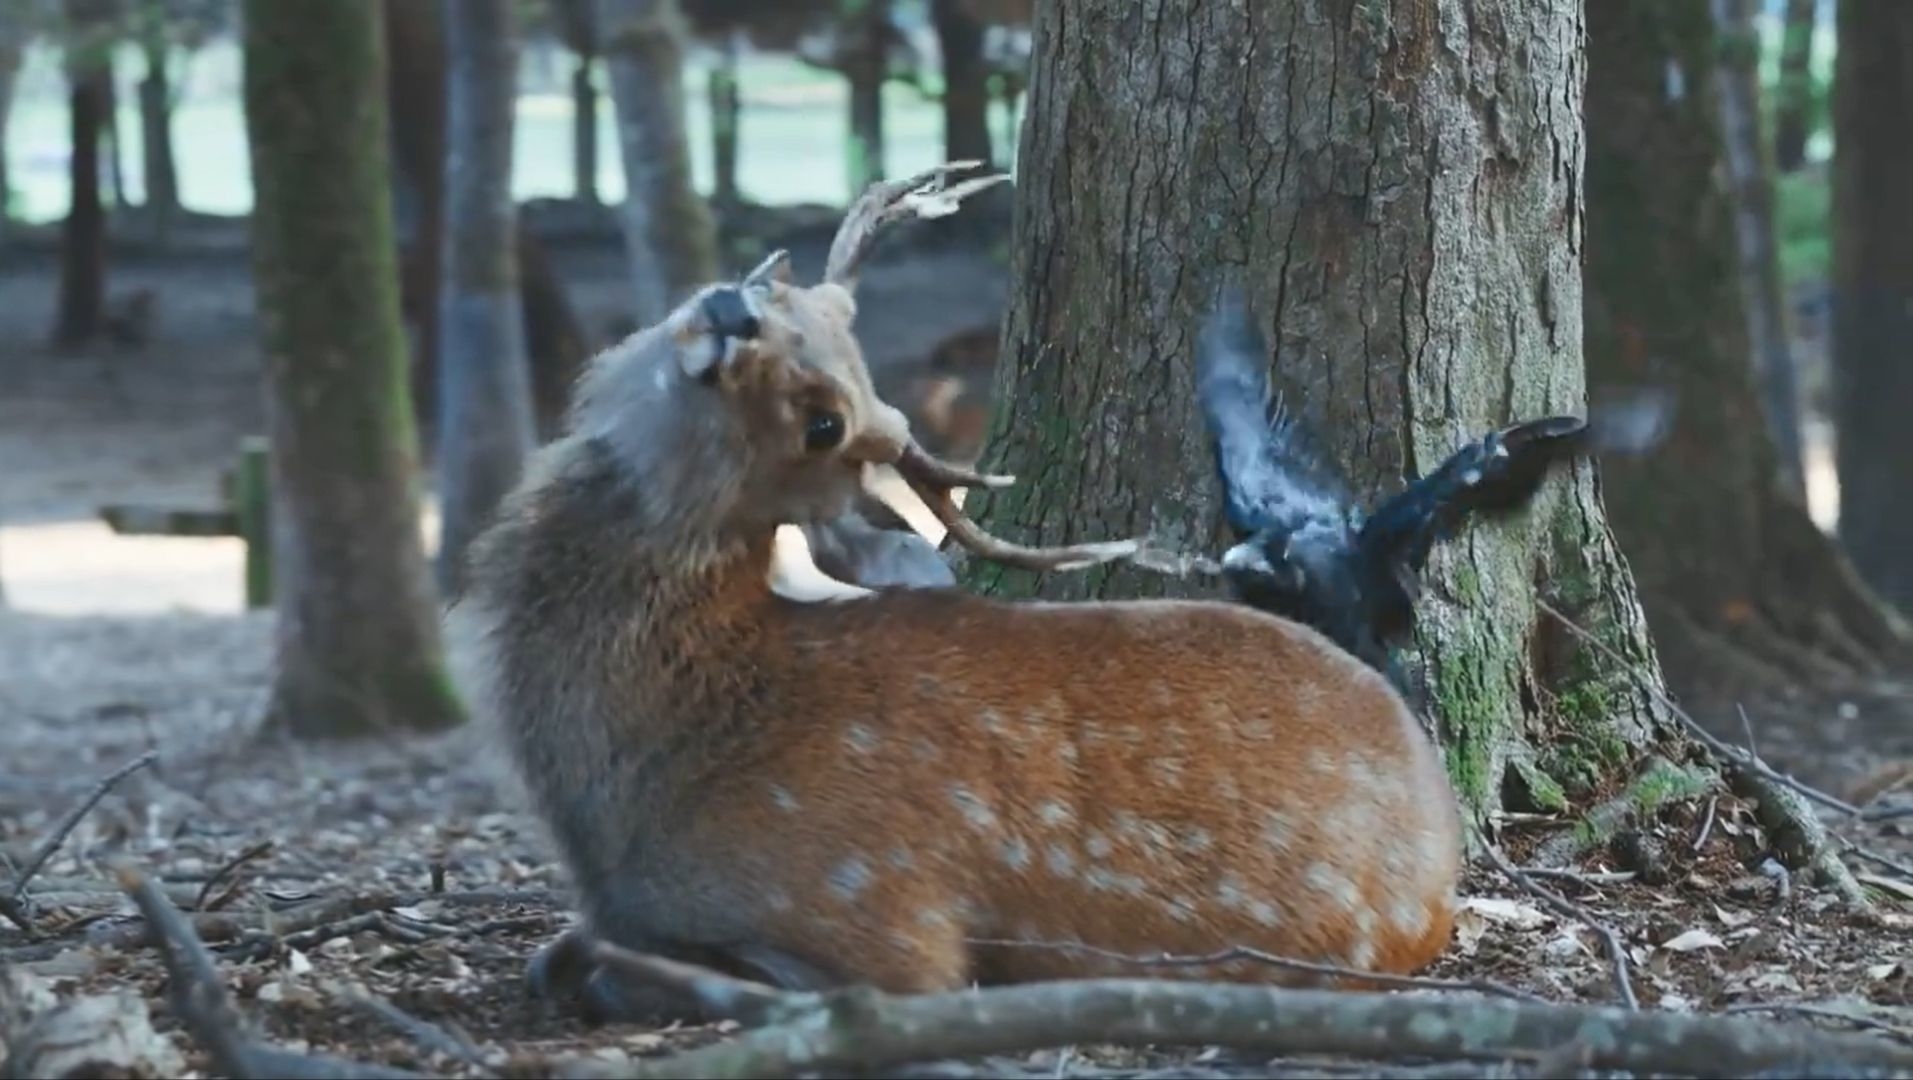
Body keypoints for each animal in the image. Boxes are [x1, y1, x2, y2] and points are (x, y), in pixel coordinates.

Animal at [447, 164, 1461, 1024]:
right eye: (788, 299)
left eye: (826, 425)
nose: (732, 308)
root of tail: (1444, 862)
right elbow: (558, 955)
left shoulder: (874, 911)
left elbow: (637, 972)